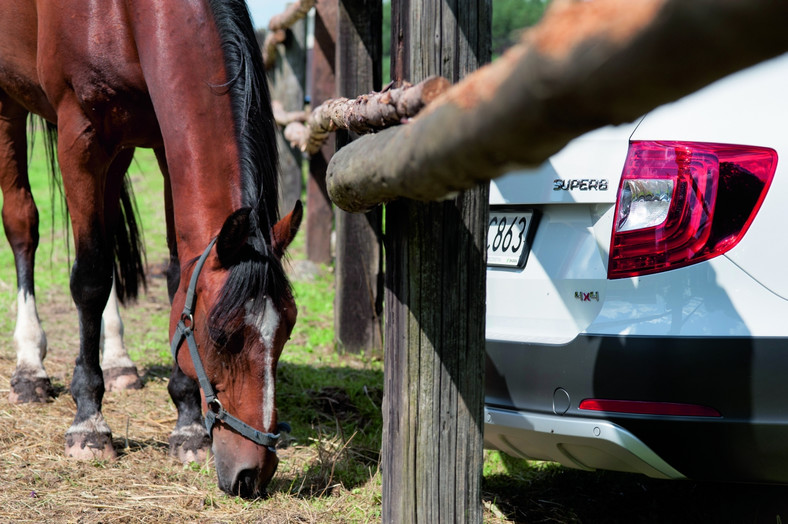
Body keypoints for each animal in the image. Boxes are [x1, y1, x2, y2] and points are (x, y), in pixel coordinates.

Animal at [0, 0, 302, 498]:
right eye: (222, 336)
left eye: (287, 331)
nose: (252, 475)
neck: (123, 14)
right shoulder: (80, 134)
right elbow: (90, 277)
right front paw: (89, 423)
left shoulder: (162, 139)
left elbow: (177, 272)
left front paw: (188, 427)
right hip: (10, 103)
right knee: (23, 224)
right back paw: (30, 368)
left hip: (120, 144)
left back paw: (118, 361)